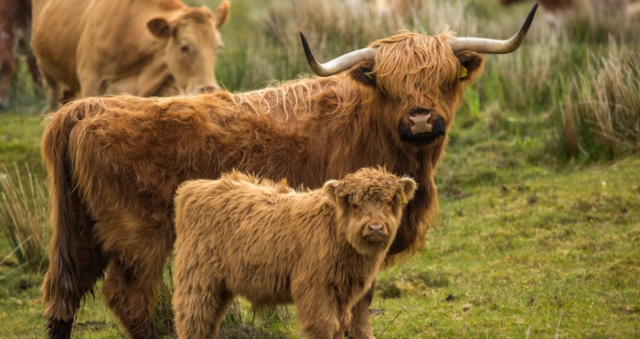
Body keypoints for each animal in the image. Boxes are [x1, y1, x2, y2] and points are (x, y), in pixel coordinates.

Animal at [172, 168, 418, 339]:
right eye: (355, 204)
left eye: (389, 202)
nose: (375, 228)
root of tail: (194, 187)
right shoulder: (315, 289)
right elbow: (323, 326)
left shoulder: (342, 293)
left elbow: (340, 325)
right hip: (199, 278)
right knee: (193, 318)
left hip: (222, 285)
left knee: (209, 321)